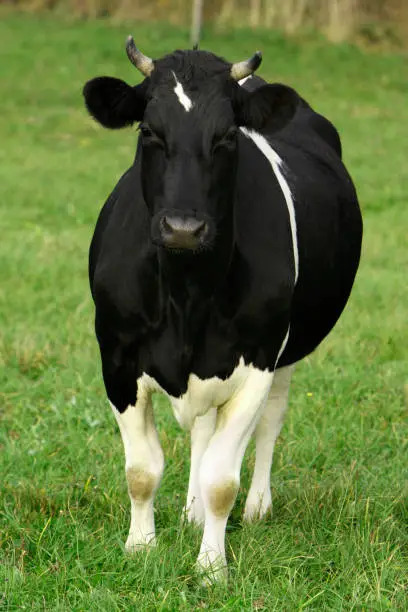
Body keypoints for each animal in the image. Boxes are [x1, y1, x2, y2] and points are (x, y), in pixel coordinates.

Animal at [83, 35, 364, 580]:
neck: (187, 296)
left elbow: (221, 479)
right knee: (201, 429)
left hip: (284, 353)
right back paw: (191, 512)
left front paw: (212, 567)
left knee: (269, 423)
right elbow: (142, 470)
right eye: (149, 131)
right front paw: (140, 548)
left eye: (228, 136)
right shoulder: (117, 358)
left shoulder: (257, 360)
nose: (183, 228)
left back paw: (257, 508)